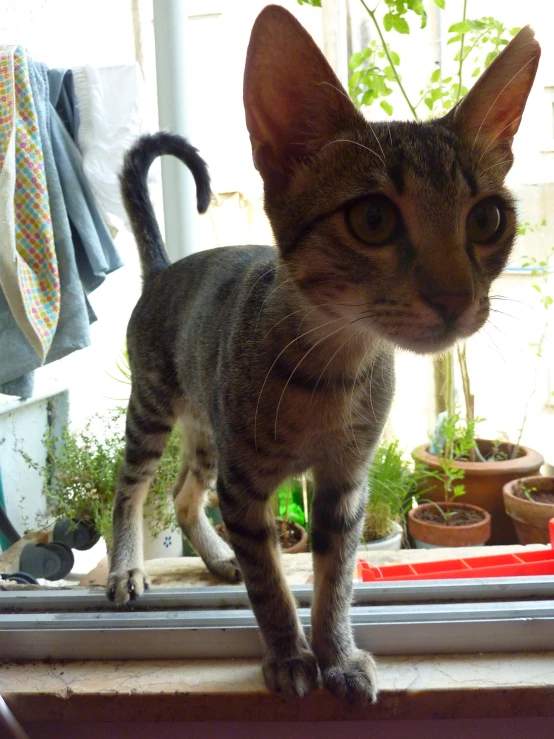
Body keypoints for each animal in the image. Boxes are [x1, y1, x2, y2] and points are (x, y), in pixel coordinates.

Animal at [106, 2, 536, 704]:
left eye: (487, 220)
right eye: (373, 220)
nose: (455, 297)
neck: (335, 370)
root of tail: (165, 269)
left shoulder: (344, 483)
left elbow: (337, 576)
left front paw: (336, 652)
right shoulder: (246, 487)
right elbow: (270, 581)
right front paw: (287, 653)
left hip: (208, 429)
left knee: (185, 493)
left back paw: (214, 555)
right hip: (154, 409)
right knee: (134, 487)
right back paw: (126, 568)